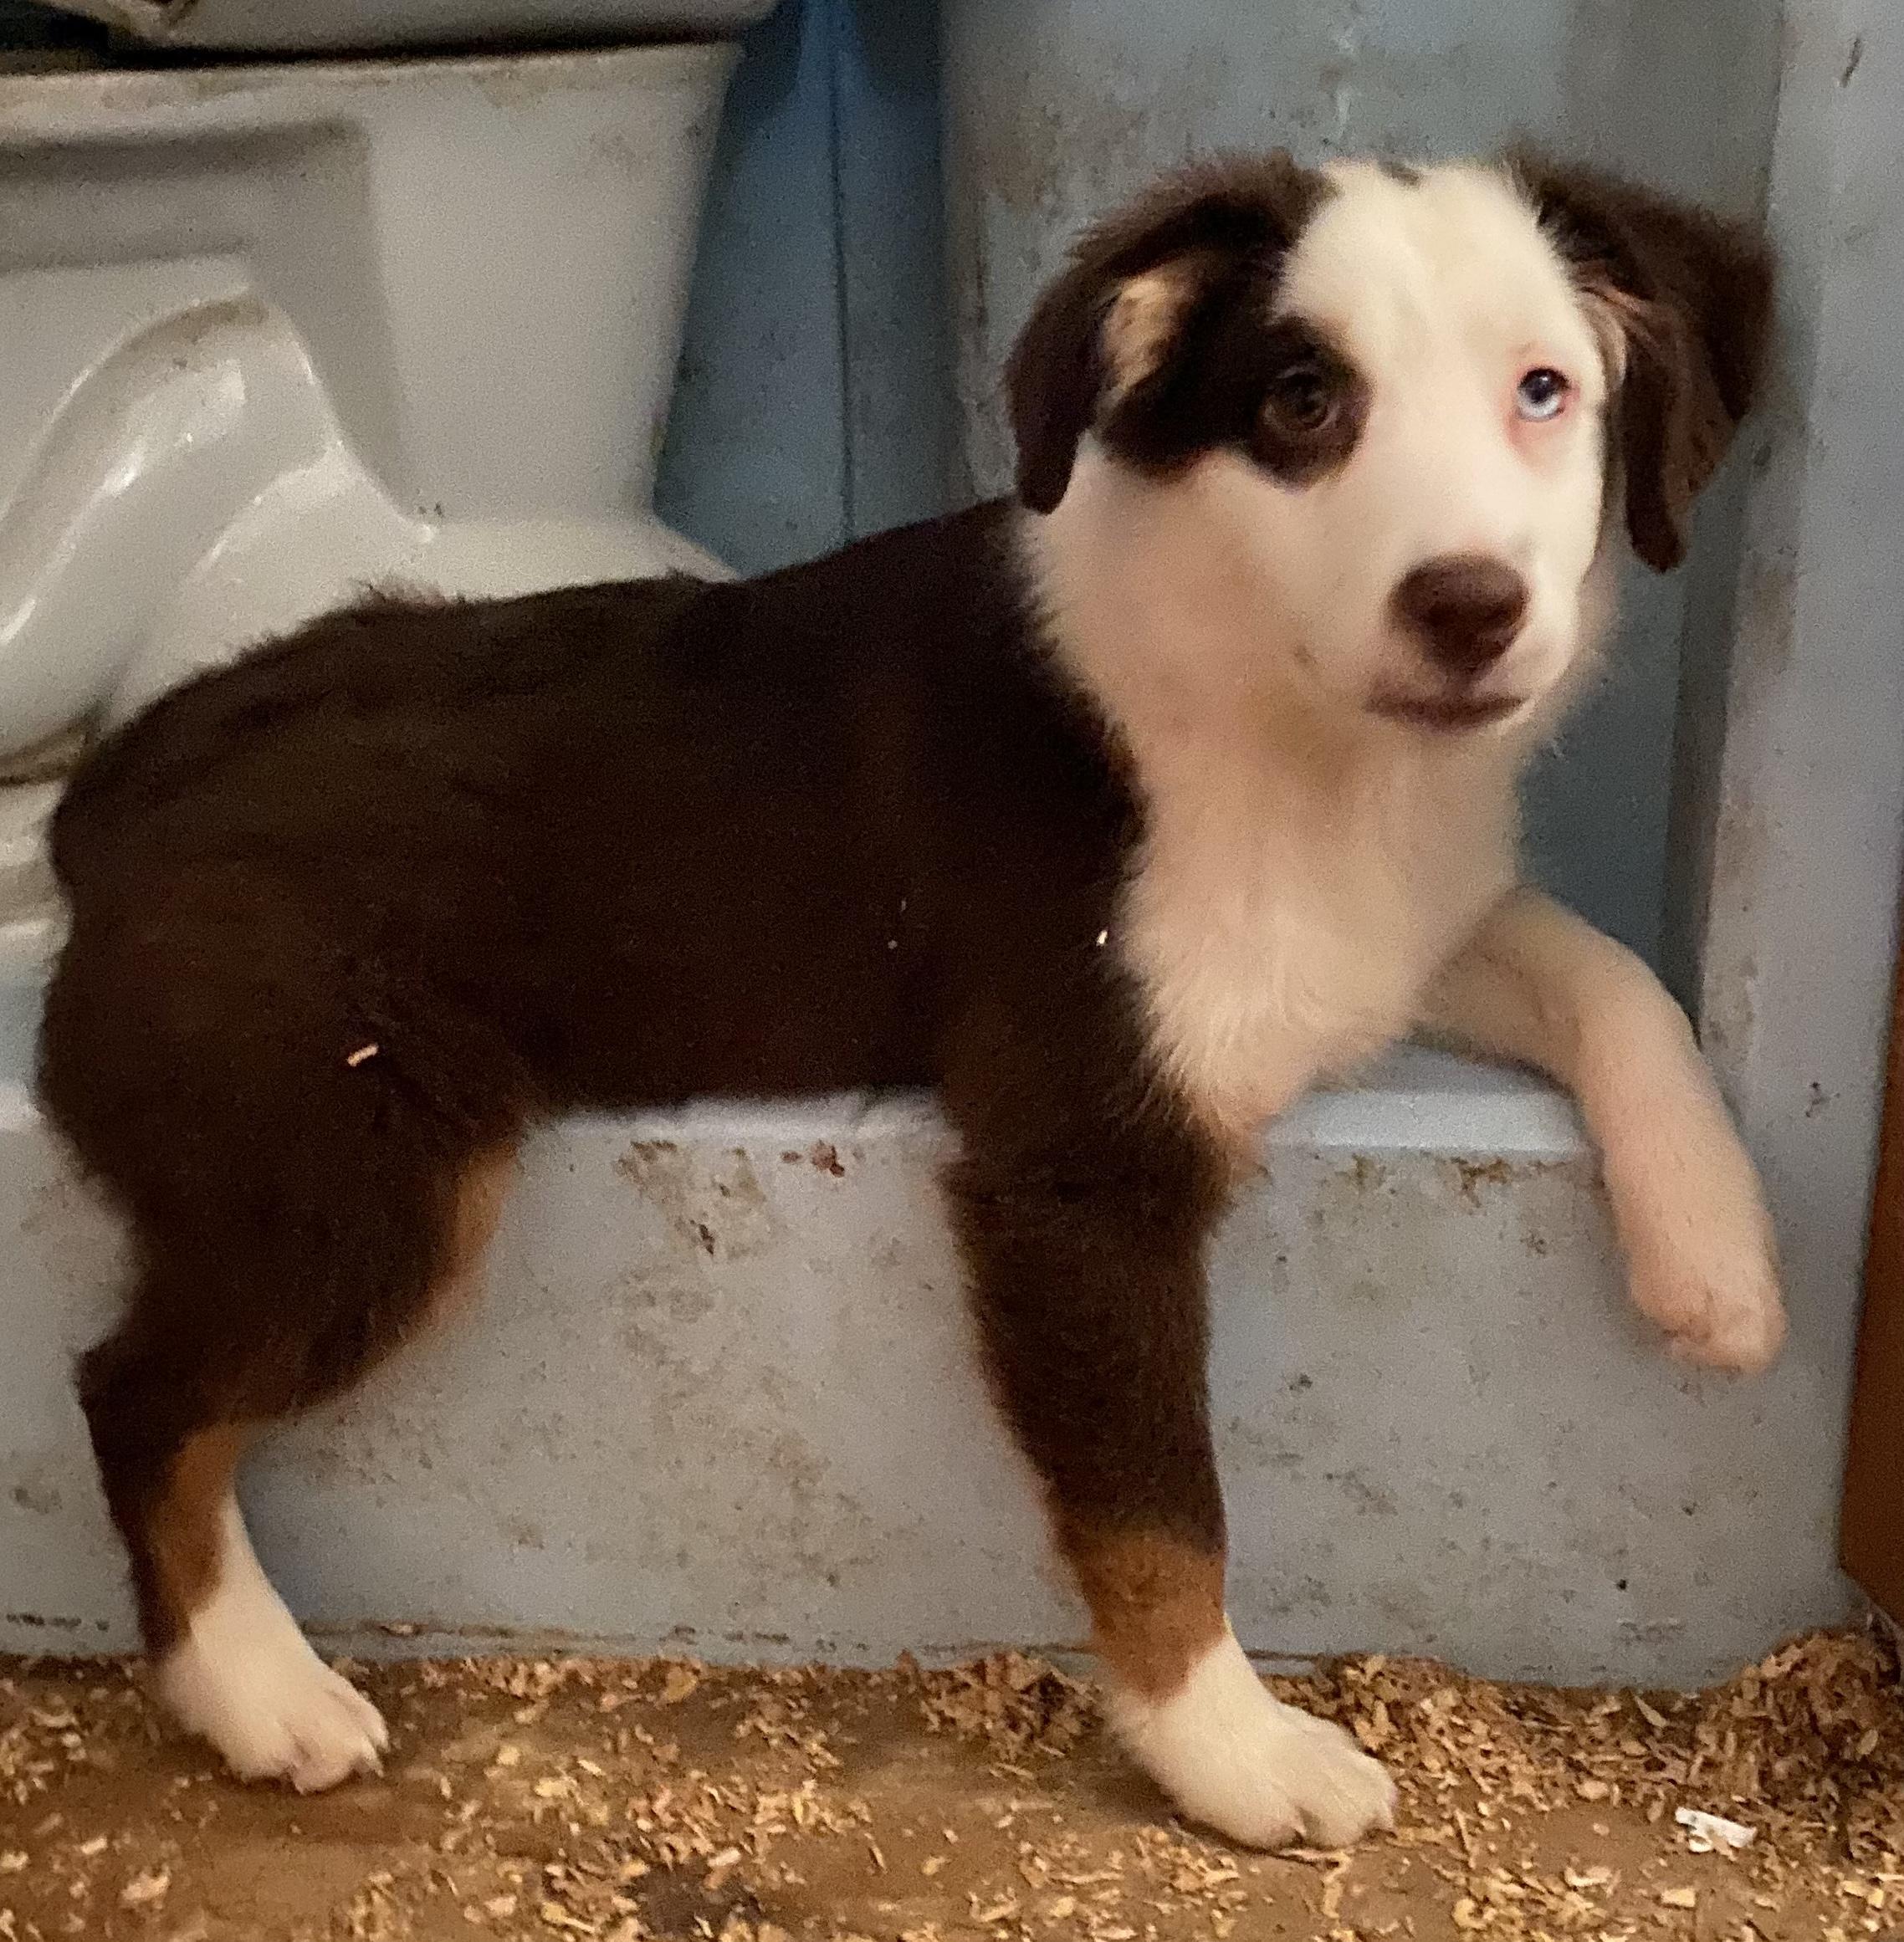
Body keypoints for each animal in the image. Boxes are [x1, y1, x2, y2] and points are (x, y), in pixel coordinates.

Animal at [36, 147, 1782, 1849]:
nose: (1470, 607)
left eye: (1544, 389)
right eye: (1300, 403)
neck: (1296, 733)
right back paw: (258, 1689)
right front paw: (1229, 1751)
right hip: (370, 1158)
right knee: (133, 1393)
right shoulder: (1077, 1168)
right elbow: (1159, 1508)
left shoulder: (1398, 933)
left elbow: (1609, 969)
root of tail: (110, 797)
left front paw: (1718, 1254)